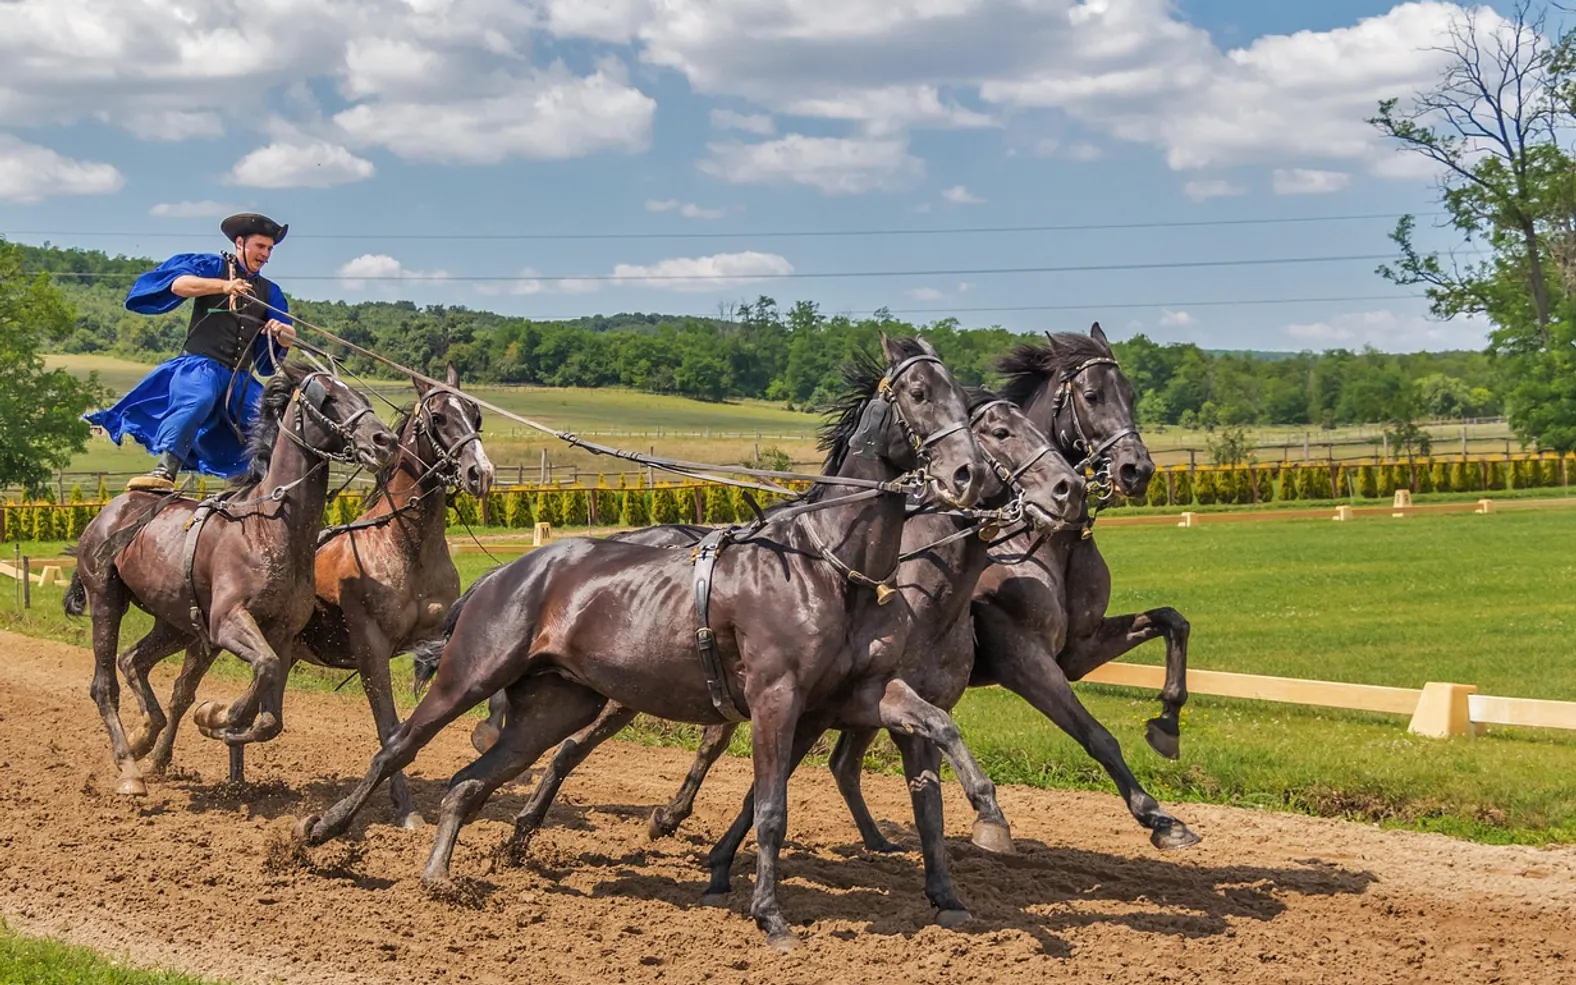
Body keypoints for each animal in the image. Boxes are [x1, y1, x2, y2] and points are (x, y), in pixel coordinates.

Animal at [65, 362, 399, 797]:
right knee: (104, 685)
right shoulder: (227, 622)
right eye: (328, 398)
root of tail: (109, 511)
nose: (384, 440)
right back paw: (129, 768)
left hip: (176, 623)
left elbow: (270, 716)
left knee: (133, 660)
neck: (267, 526)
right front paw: (218, 715)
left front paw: (219, 719)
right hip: (107, 599)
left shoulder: (281, 634)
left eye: (361, 396)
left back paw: (145, 735)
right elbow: (264, 670)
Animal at [295, 335, 1012, 949]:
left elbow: (939, 722)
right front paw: (770, 915)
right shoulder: (777, 698)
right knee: (398, 746)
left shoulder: (856, 693)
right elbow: (771, 809)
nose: (969, 474)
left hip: (557, 706)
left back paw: (438, 875)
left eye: (960, 395)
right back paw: (323, 829)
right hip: (468, 675)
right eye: (919, 391)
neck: (828, 565)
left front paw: (988, 816)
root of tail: (502, 575)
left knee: (470, 783)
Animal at [499, 386, 1087, 916]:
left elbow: (927, 796)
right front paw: (724, 870)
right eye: (1000, 431)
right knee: (570, 749)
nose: (1069, 489)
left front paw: (949, 885)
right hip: (627, 691)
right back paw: (529, 830)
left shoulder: (875, 703)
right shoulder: (811, 705)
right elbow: (771, 788)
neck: (913, 588)